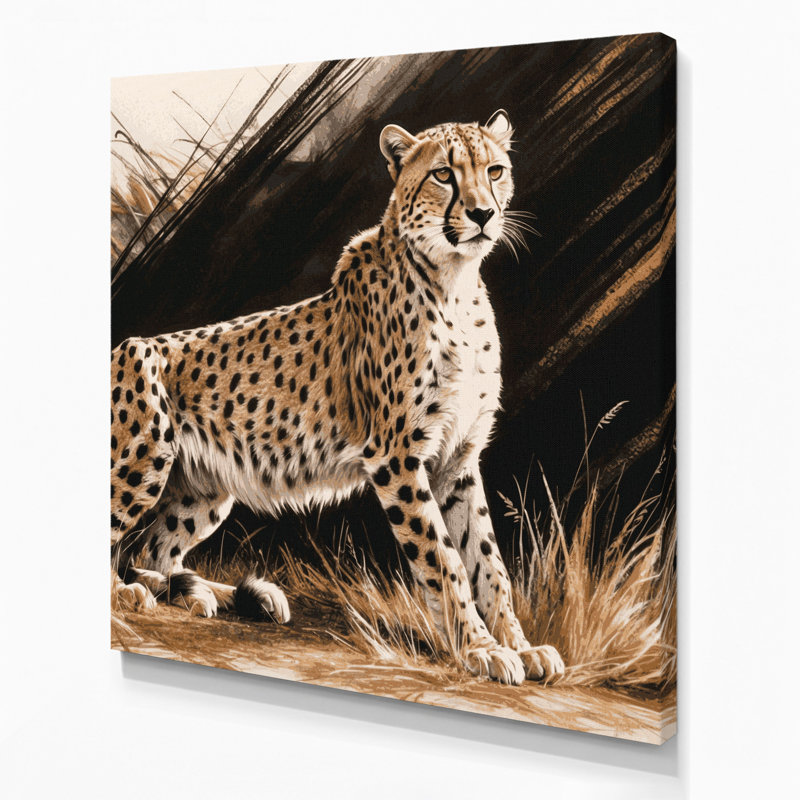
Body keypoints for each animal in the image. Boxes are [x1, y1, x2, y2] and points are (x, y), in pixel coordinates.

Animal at [110, 110, 565, 686]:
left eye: (496, 170)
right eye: (443, 175)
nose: (483, 213)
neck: (456, 283)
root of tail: (120, 345)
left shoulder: (457, 460)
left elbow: (489, 563)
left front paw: (520, 646)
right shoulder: (396, 457)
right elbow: (444, 559)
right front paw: (480, 650)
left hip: (204, 491)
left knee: (155, 550)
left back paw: (219, 596)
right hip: (144, 450)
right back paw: (131, 594)